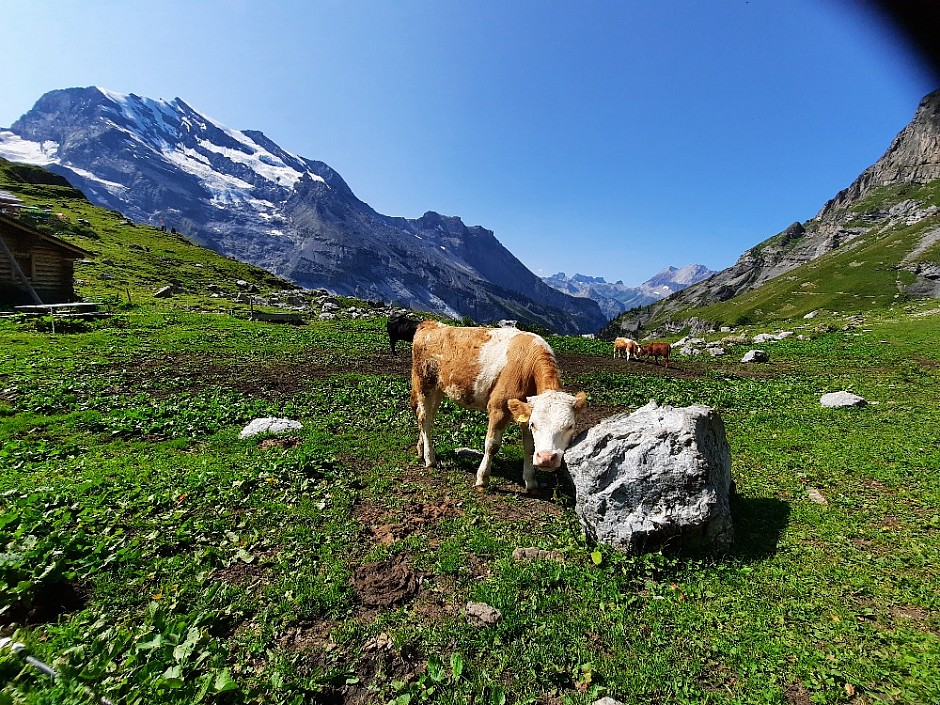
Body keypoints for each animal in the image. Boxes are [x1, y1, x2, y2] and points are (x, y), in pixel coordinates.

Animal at [412, 322, 588, 492]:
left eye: (570, 426)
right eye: (534, 424)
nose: (546, 458)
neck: (527, 366)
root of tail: (431, 324)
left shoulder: (525, 411)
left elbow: (529, 447)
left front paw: (531, 481)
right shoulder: (499, 408)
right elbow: (492, 445)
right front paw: (482, 479)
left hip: (439, 389)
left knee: (429, 418)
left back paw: (421, 450)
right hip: (424, 384)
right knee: (424, 418)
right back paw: (430, 459)